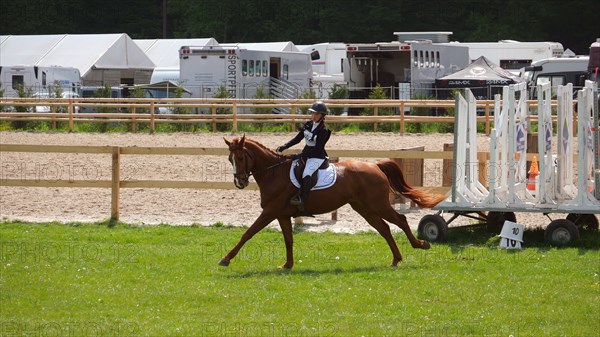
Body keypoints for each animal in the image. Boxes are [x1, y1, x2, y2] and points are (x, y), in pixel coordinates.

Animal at [220, 134, 446, 268]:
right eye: (230, 159)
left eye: (241, 158)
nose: (239, 182)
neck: (273, 173)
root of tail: (375, 166)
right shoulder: (282, 215)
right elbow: (288, 240)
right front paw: (287, 265)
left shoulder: (269, 212)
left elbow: (248, 233)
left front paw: (226, 258)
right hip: (364, 208)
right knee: (384, 228)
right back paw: (396, 259)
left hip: (378, 205)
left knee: (400, 220)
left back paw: (420, 245)